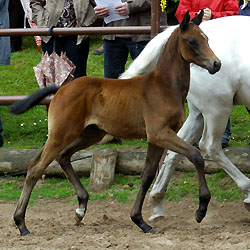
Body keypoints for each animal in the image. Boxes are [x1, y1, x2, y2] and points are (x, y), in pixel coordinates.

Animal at [9, 10, 221, 236]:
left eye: (207, 39)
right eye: (192, 41)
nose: (216, 64)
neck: (164, 87)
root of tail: (61, 89)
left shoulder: (156, 138)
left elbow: (147, 175)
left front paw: (140, 220)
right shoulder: (160, 134)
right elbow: (195, 155)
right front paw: (201, 210)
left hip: (89, 134)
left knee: (61, 157)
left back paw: (81, 208)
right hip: (62, 134)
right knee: (36, 168)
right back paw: (21, 223)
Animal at [119, 15, 250, 221]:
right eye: (193, 41)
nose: (215, 64)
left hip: (199, 114)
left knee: (179, 150)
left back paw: (157, 201)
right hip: (217, 107)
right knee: (209, 146)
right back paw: (247, 191)